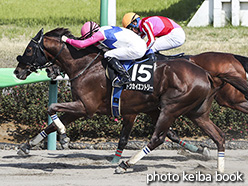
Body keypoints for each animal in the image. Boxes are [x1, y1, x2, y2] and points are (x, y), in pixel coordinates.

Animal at [14, 28, 227, 173]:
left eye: (30, 49)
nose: (17, 71)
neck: (85, 66)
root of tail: (206, 74)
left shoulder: (86, 106)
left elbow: (51, 107)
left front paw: (64, 138)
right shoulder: (81, 106)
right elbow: (52, 124)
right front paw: (28, 145)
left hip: (171, 107)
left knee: (157, 137)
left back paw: (125, 164)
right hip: (197, 113)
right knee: (218, 136)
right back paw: (219, 168)